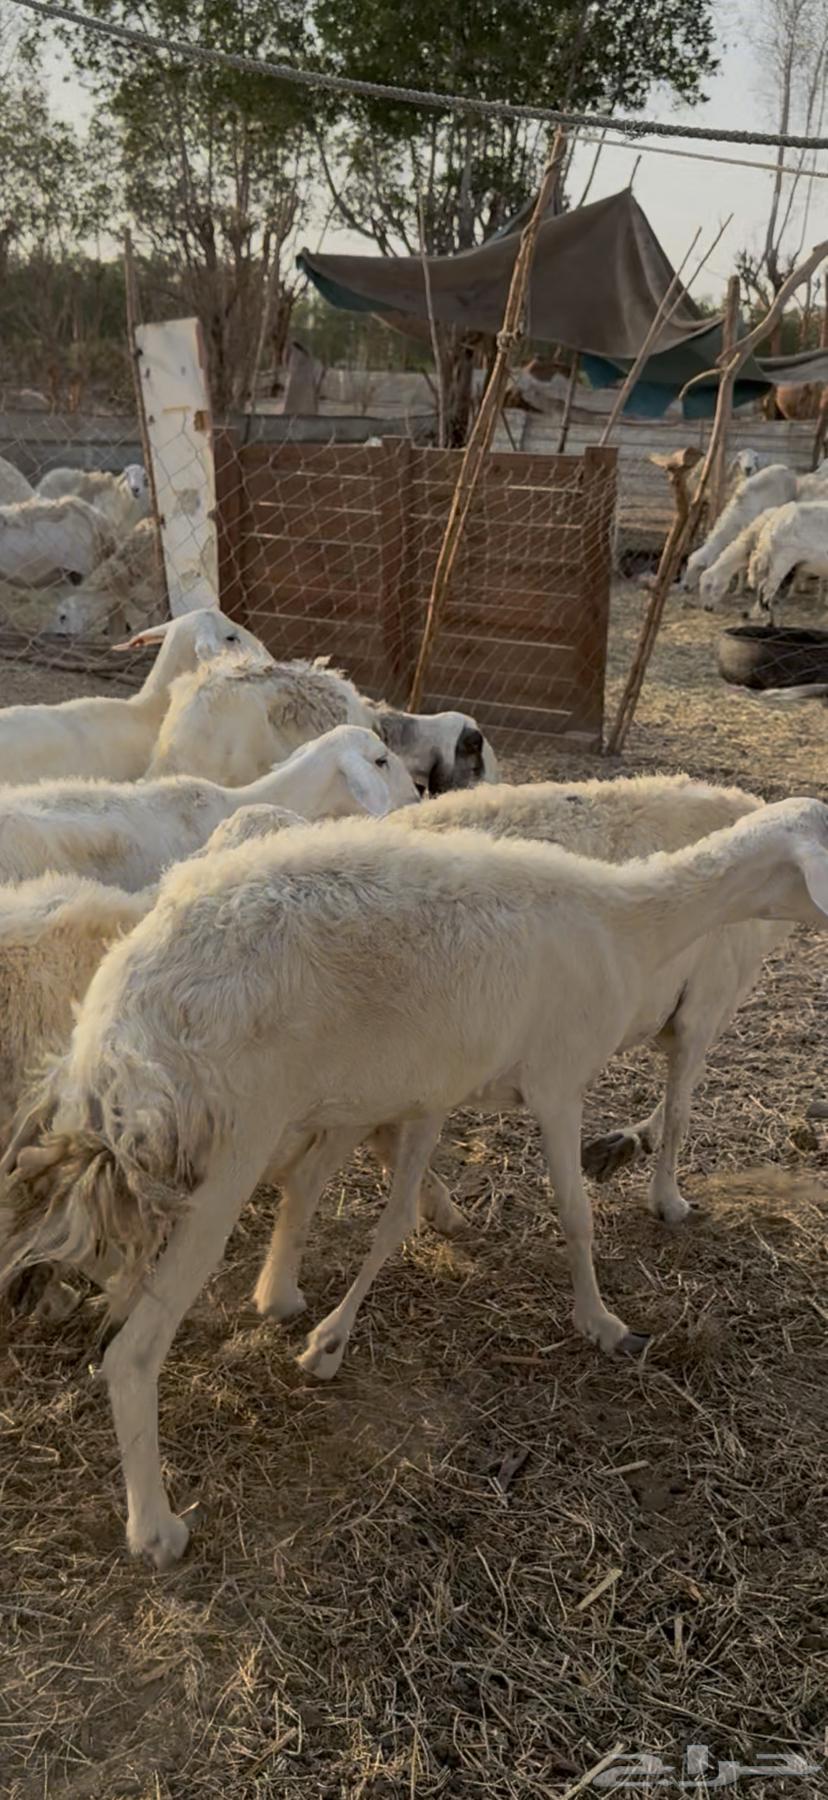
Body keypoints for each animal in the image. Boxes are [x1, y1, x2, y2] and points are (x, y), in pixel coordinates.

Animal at [0, 796, 825, 1566]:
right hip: (223, 1157)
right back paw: (155, 1528)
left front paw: (330, 1338)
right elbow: (575, 1212)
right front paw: (602, 1322)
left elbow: (396, 1217)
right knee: (133, 1353)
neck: (630, 923)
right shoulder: (556, 1080)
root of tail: (111, 1034)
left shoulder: (434, 1087)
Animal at [683, 464, 798, 594]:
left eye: (700, 568)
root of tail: (784, 467)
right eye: (687, 564)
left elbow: (742, 568)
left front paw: (739, 588)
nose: (685, 587)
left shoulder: (745, 540)